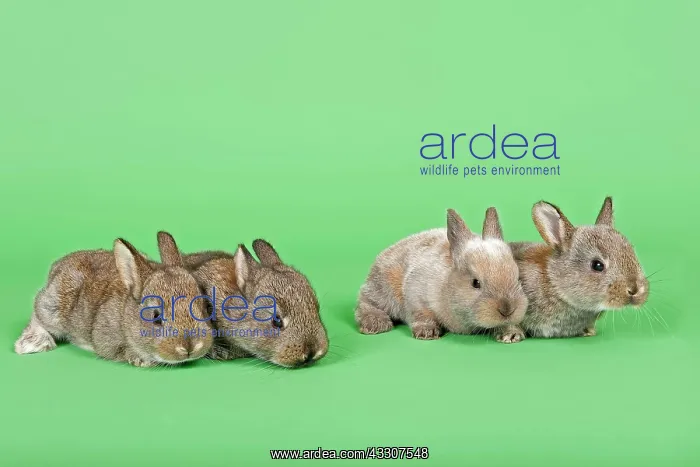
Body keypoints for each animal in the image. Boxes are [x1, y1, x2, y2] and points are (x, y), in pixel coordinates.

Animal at [14, 232, 213, 367]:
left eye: (203, 308)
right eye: (155, 317)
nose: (191, 348)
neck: (126, 316)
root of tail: (56, 266)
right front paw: (139, 360)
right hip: (53, 307)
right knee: (38, 313)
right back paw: (32, 343)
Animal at [355, 208, 529, 343]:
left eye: (517, 277)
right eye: (475, 283)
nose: (508, 310)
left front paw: (511, 333)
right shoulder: (416, 295)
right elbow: (422, 314)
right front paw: (427, 332)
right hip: (382, 288)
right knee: (365, 303)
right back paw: (375, 324)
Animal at [508, 197, 650, 339]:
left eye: (632, 252)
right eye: (597, 265)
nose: (635, 290)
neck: (554, 283)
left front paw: (588, 331)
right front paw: (513, 335)